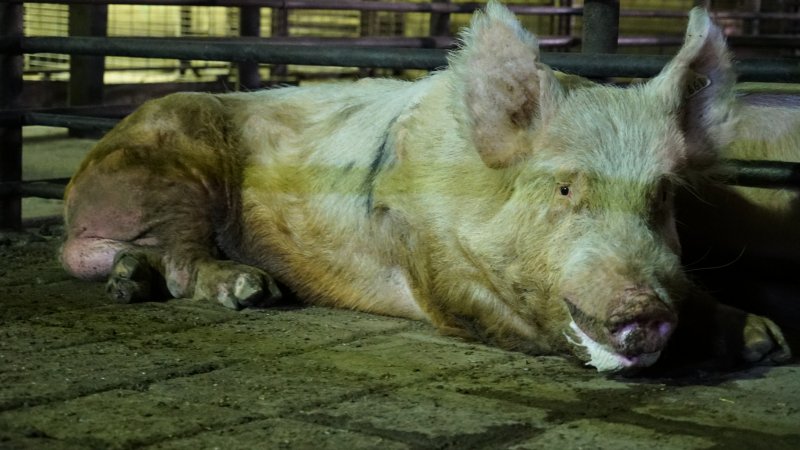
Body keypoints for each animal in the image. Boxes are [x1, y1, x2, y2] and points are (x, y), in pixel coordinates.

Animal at [59, 1, 792, 370]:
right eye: (562, 190)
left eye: (661, 197)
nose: (641, 305)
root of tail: (74, 194)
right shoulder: (413, 240)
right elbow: (483, 312)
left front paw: (765, 341)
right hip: (176, 165)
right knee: (185, 259)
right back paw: (249, 290)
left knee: (147, 259)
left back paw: (130, 283)